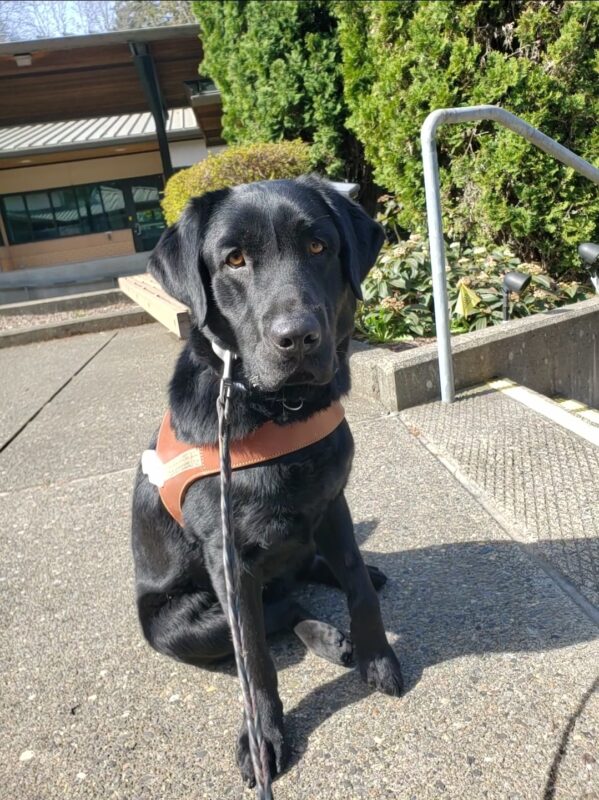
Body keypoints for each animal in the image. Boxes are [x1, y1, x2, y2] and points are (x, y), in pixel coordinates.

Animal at [131, 177, 404, 788]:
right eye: (234, 259)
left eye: (319, 247)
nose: (298, 338)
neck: (278, 412)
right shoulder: (229, 557)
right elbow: (254, 656)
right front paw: (263, 736)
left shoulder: (333, 501)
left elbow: (354, 581)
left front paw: (378, 657)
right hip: (175, 624)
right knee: (276, 609)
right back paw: (324, 636)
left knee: (302, 578)